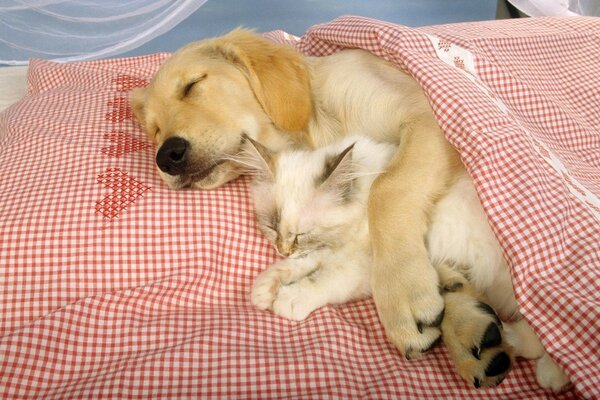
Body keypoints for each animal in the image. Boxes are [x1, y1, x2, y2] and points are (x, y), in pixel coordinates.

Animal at [234, 134, 568, 390]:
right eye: (272, 226)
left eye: (302, 233)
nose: (282, 248)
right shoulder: (332, 250)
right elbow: (303, 265)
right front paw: (265, 288)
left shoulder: (362, 266)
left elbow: (323, 280)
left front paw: (289, 299)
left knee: (544, 338)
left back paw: (540, 365)